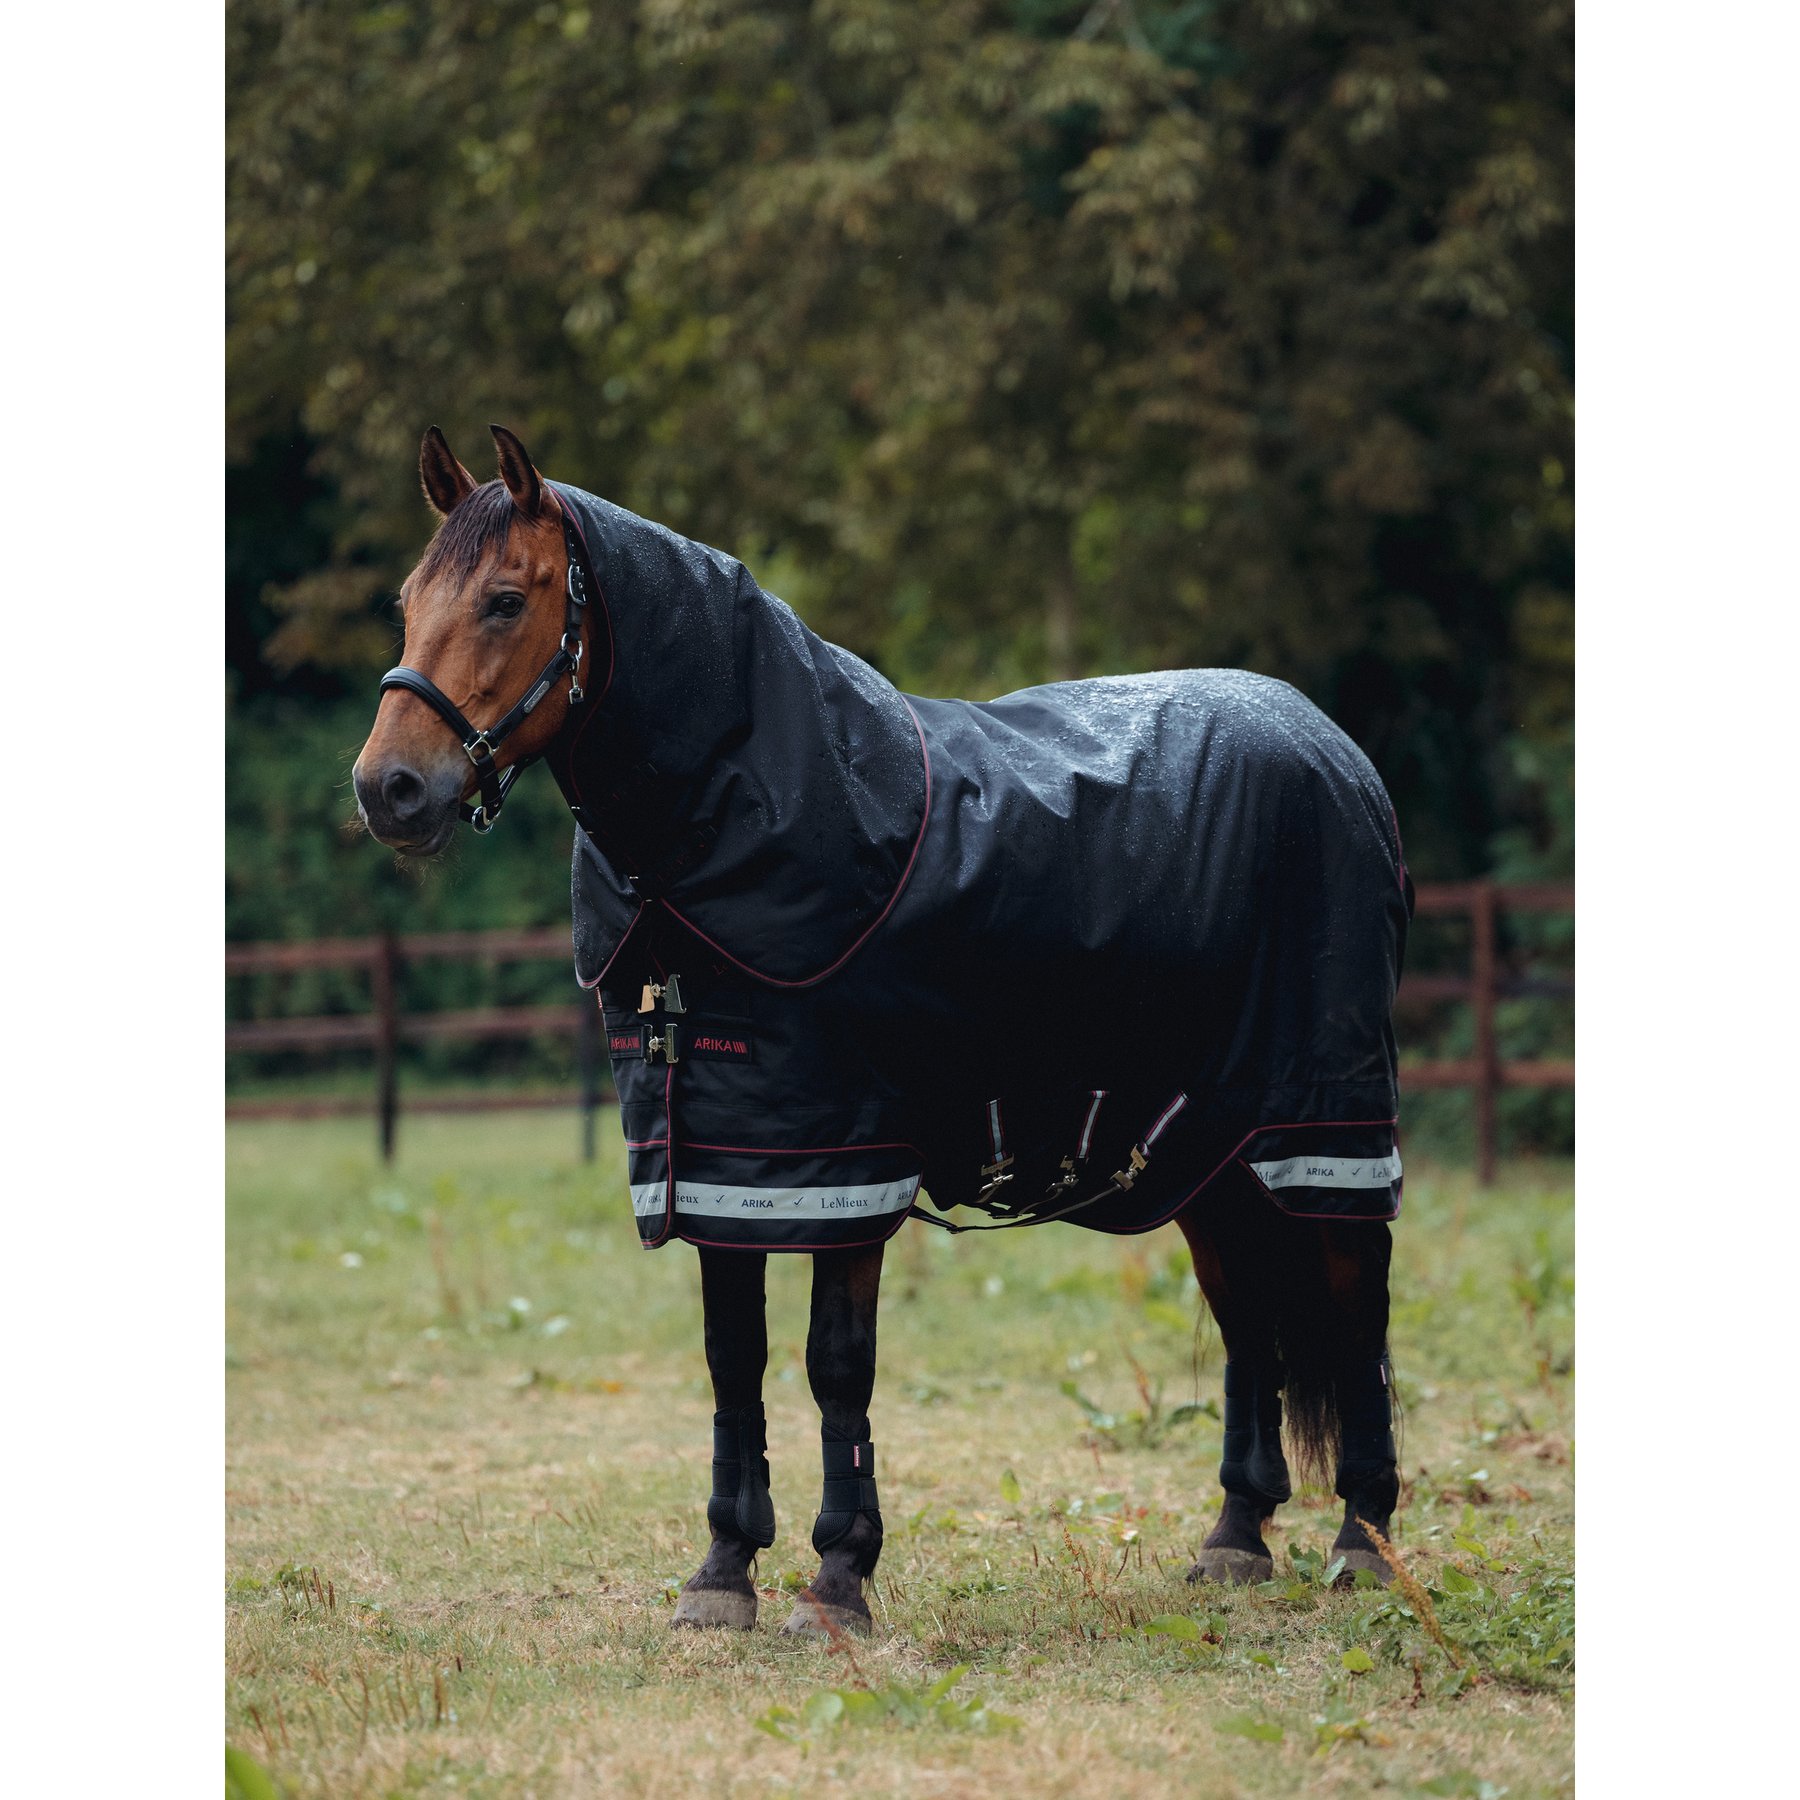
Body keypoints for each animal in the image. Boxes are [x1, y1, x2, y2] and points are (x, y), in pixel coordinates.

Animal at [353, 424, 1412, 1638]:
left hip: (1323, 1123)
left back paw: (1365, 1540)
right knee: (1249, 1320)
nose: (389, 788)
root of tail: (1335, 753)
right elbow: (733, 1359)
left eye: (505, 599)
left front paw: (837, 1579)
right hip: (1211, 1152)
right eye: (408, 601)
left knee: (1358, 1301)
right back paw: (1235, 1536)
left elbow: (833, 1365)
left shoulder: (844, 1161)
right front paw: (722, 1575)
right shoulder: (722, 1156)